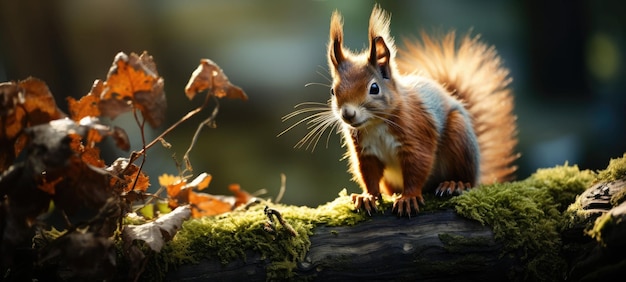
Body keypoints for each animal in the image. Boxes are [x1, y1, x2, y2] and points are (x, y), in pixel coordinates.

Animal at [282, 4, 516, 216]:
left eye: (374, 88)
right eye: (332, 90)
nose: (348, 114)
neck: (376, 124)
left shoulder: (417, 134)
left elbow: (417, 167)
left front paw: (408, 197)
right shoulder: (365, 151)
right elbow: (369, 175)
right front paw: (367, 197)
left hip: (460, 138)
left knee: (467, 178)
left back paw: (455, 184)